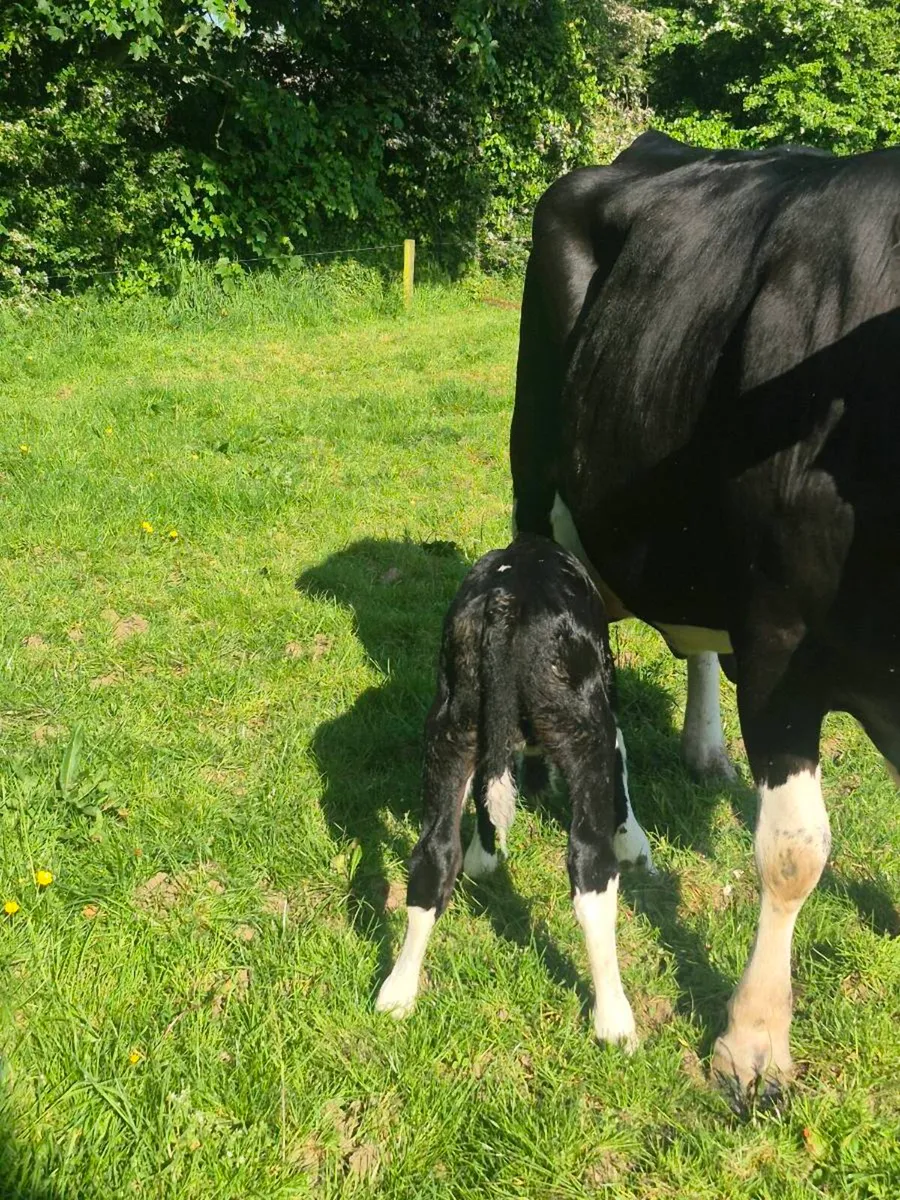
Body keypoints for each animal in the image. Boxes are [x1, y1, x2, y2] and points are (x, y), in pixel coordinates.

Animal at [376, 534, 653, 1041]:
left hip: (452, 723)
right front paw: (634, 842)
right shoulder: (606, 711)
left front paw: (489, 852)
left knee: (434, 854)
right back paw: (614, 1020)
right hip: (584, 724)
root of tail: (508, 601)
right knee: (590, 865)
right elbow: (621, 766)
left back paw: (398, 992)